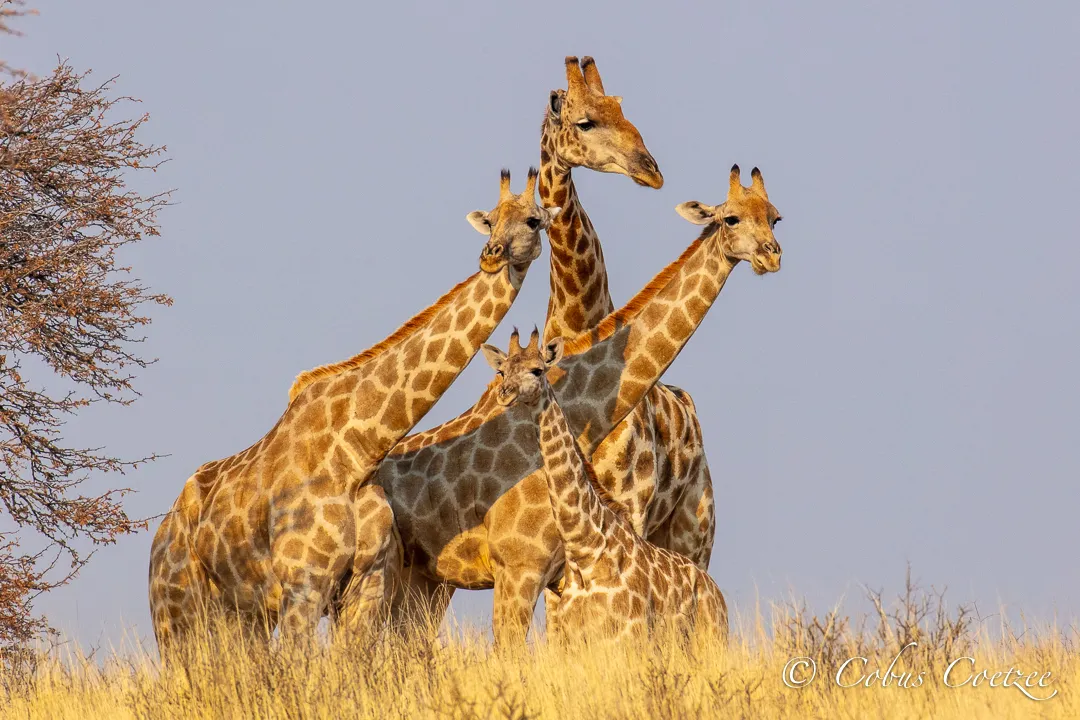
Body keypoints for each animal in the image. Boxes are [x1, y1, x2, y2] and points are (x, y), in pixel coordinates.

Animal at [147, 168, 559, 649]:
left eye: (533, 220)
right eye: (491, 219)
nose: (492, 255)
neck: (360, 451)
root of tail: (161, 533)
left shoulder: (366, 585)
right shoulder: (304, 584)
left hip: (242, 615)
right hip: (175, 612)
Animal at [486, 328, 728, 643]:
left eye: (537, 370)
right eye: (501, 371)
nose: (505, 393)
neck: (584, 546)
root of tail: (715, 590)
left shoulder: (629, 630)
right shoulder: (576, 635)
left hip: (711, 632)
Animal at [537, 55, 718, 629]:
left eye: (622, 107)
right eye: (585, 121)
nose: (651, 169)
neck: (579, 321)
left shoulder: (630, 504)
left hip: (694, 529)